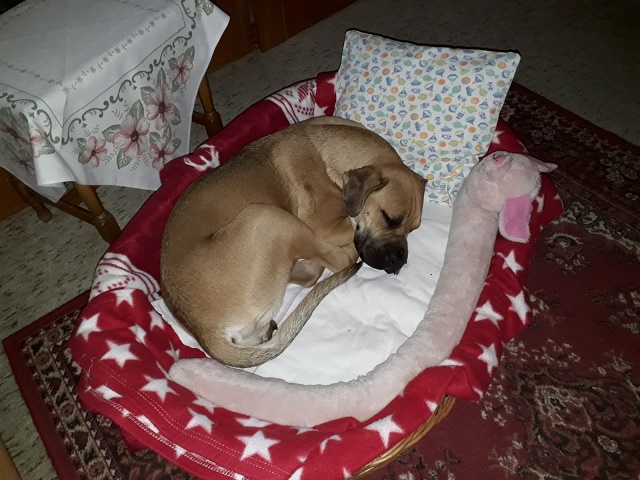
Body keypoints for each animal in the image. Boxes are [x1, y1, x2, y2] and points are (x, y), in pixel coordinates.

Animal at [160, 116, 426, 368]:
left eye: (413, 229)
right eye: (390, 219)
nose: (398, 262)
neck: (328, 158)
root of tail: (204, 331)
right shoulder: (324, 225)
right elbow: (349, 232)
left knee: (310, 274)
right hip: (267, 216)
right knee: (340, 261)